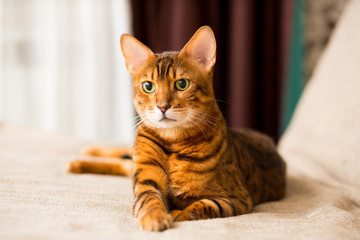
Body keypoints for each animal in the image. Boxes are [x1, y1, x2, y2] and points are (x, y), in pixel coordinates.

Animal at [67, 25, 286, 231]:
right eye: (148, 86)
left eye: (182, 84)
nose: (163, 106)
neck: (174, 143)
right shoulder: (146, 181)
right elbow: (149, 199)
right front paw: (155, 217)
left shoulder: (236, 198)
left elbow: (203, 205)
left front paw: (177, 214)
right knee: (124, 158)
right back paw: (83, 156)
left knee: (124, 163)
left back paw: (79, 161)